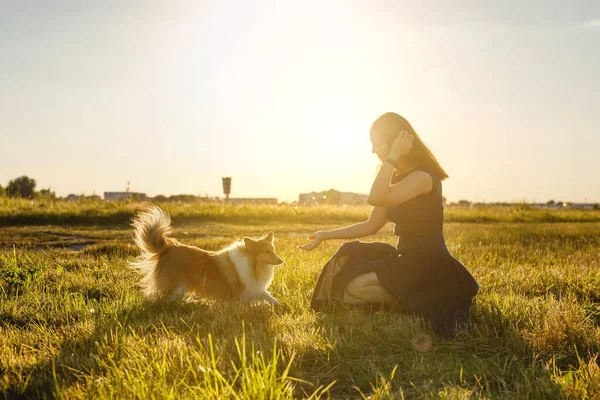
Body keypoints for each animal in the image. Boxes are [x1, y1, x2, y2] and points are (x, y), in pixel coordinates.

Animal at [129, 208, 284, 304]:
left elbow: (270, 298)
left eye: (273, 250)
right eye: (266, 251)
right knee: (163, 298)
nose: (281, 261)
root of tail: (168, 247)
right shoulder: (241, 293)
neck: (252, 262)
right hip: (177, 285)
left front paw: (279, 306)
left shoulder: (255, 289)